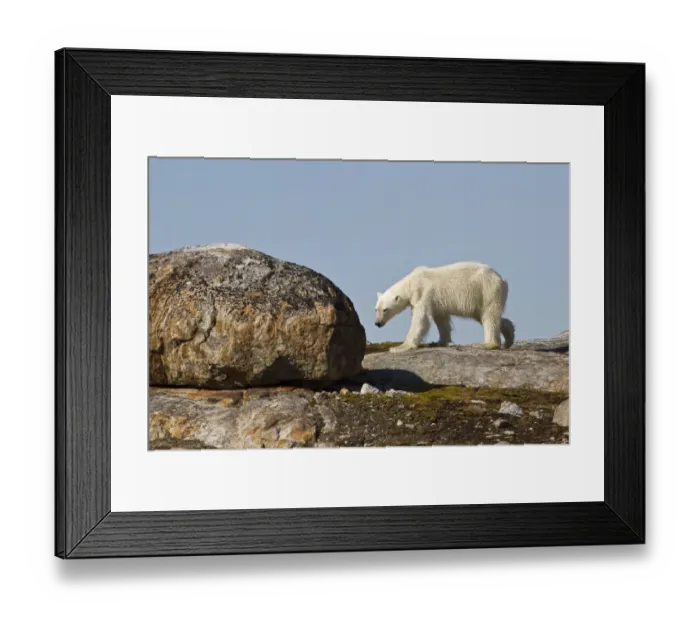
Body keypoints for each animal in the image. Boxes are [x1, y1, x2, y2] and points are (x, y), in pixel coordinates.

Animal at [374, 261, 515, 353]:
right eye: (376, 309)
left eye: (385, 310)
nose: (377, 323)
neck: (410, 282)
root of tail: (502, 280)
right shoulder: (436, 301)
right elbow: (441, 319)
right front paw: (438, 342)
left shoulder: (422, 294)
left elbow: (421, 319)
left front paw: (400, 347)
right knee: (485, 316)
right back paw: (509, 337)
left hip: (486, 290)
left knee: (489, 315)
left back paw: (487, 344)